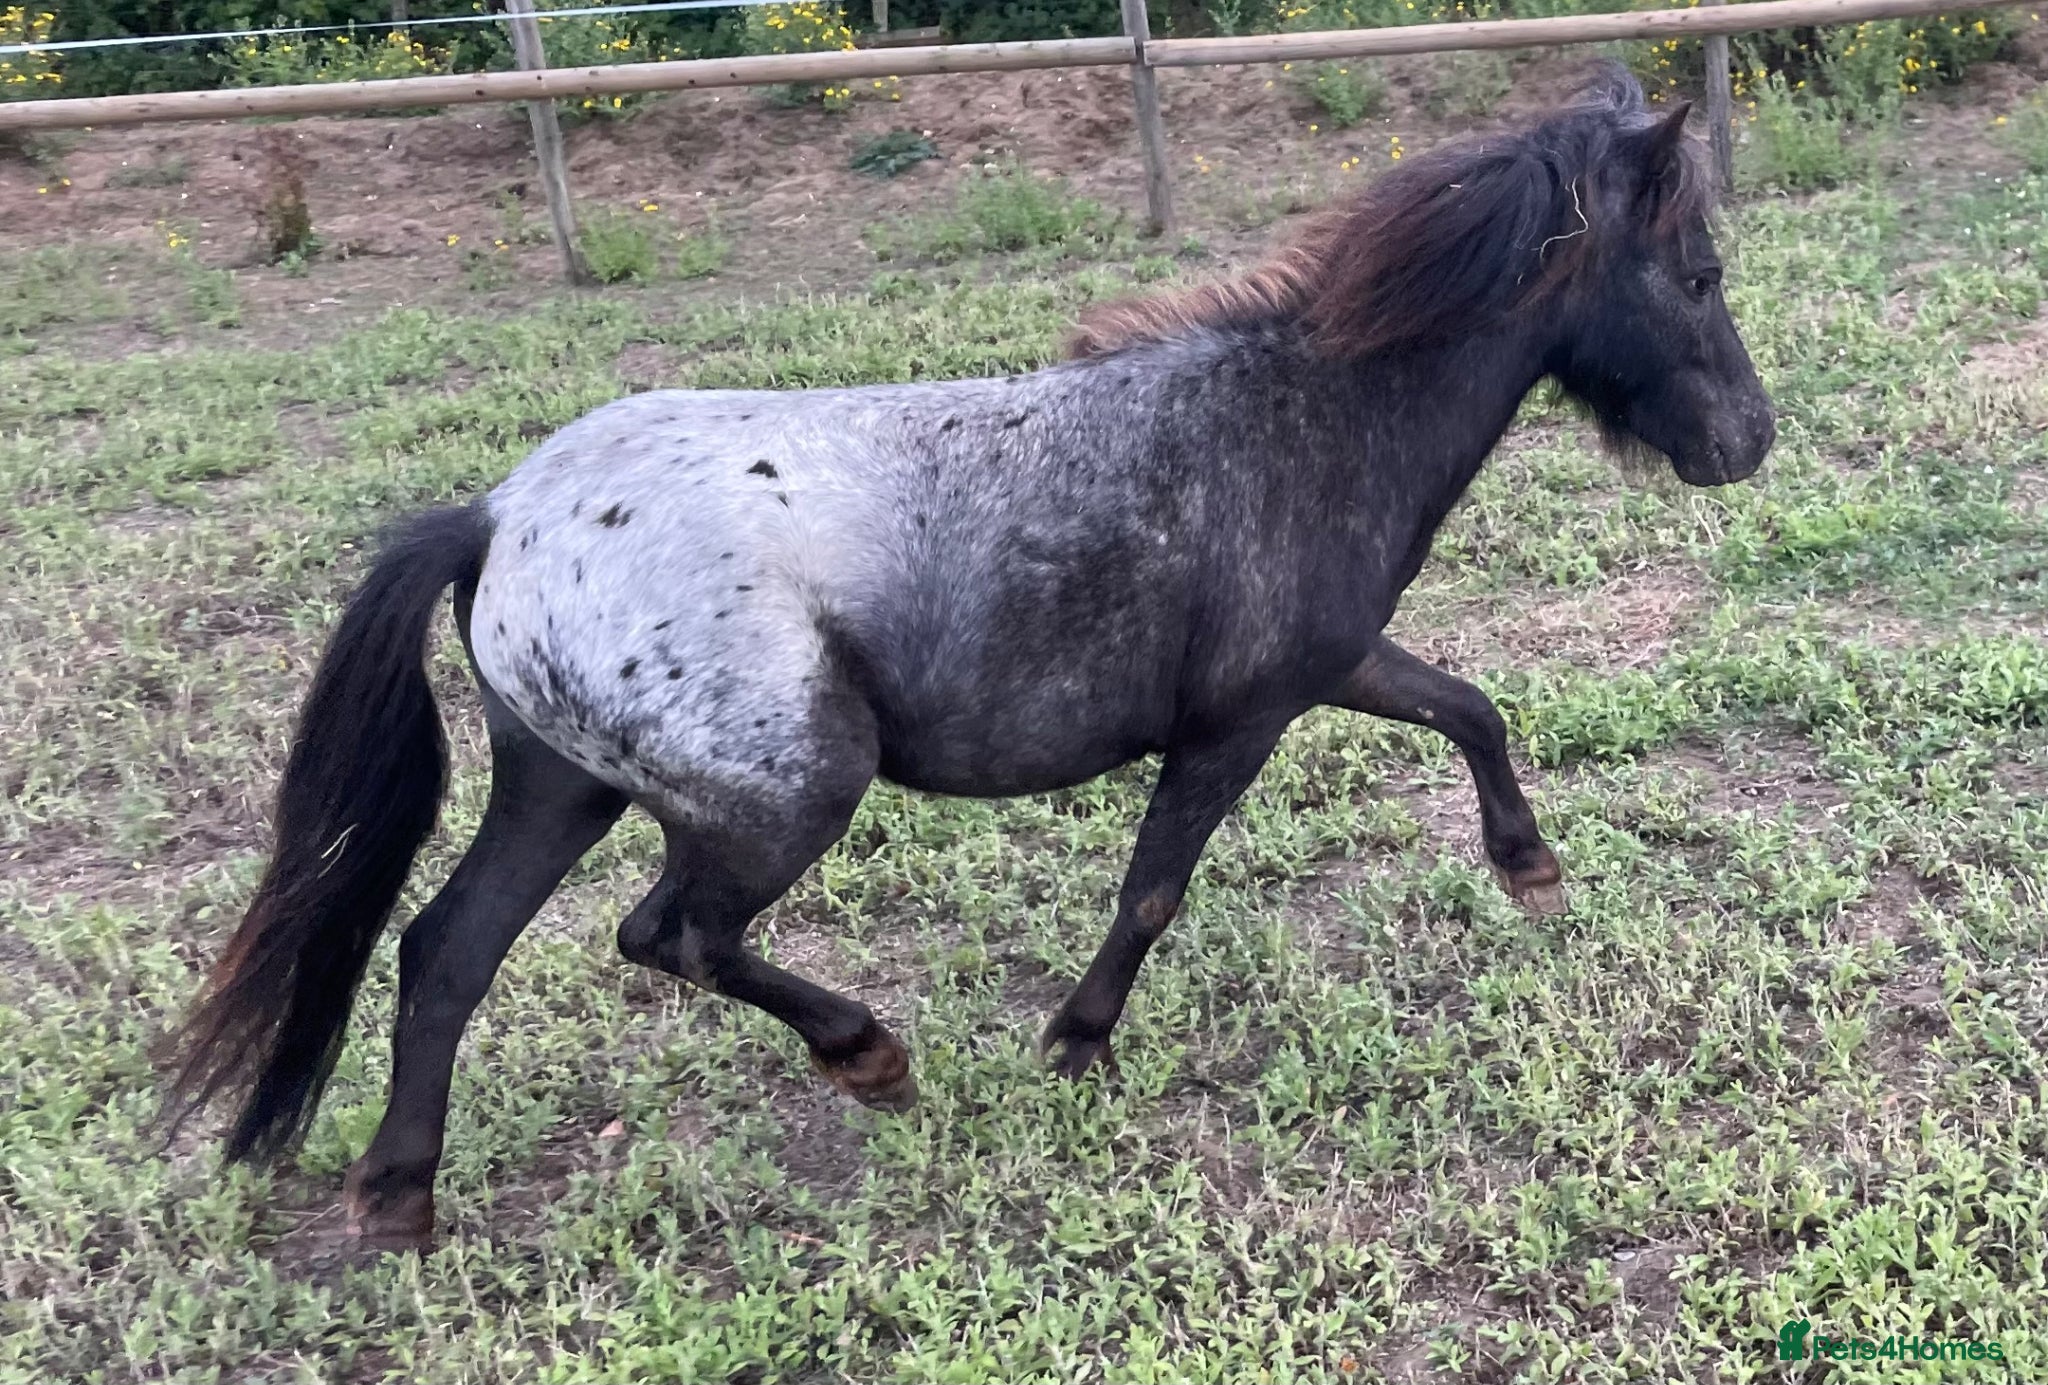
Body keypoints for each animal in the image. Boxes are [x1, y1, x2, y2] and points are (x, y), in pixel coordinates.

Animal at [164, 63, 1774, 1248]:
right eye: (1695, 274)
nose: (1749, 443)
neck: (1294, 418)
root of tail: (495, 516)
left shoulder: (1326, 665)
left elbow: (1469, 708)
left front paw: (1530, 868)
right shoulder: (1240, 719)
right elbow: (1154, 886)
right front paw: (1074, 1040)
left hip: (562, 784)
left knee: (446, 951)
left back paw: (399, 1196)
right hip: (785, 795)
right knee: (671, 935)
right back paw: (865, 1053)